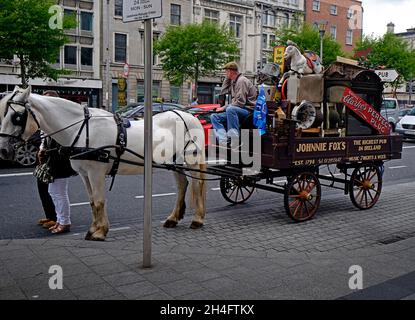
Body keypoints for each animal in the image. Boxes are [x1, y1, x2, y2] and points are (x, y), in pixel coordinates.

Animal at [0, 86, 208, 241]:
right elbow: (93, 201)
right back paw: (173, 218)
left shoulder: (96, 173)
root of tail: (189, 116)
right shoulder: (85, 174)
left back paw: (197, 219)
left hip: (190, 160)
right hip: (175, 162)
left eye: (17, 117)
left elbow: (100, 201)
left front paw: (100, 232)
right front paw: (94, 229)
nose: (3, 150)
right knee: (182, 186)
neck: (81, 128)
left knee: (197, 186)